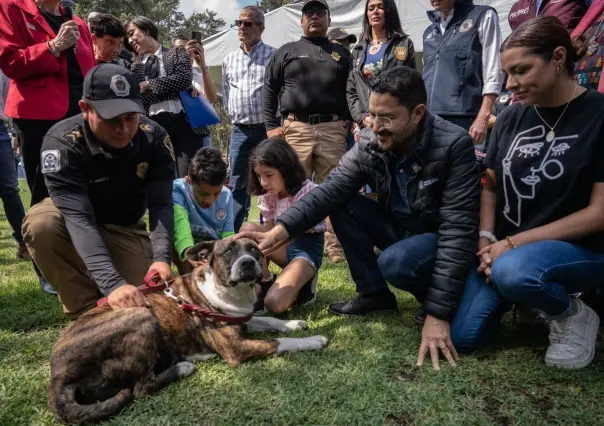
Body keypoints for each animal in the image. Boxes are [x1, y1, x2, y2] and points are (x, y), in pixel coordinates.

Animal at [47, 238, 328, 424]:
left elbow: (268, 320)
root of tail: (58, 375)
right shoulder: (235, 348)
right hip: (141, 316)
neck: (229, 291)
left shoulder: (241, 319)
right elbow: (280, 342)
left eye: (254, 250)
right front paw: (313, 340)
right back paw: (183, 367)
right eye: (228, 251)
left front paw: (294, 323)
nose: (248, 263)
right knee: (141, 388)